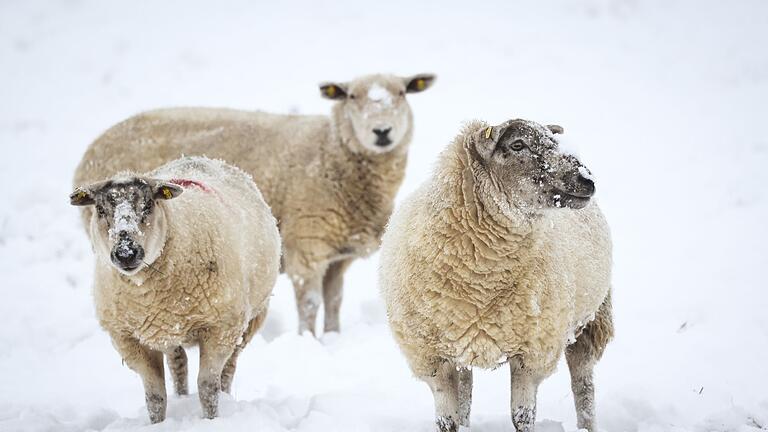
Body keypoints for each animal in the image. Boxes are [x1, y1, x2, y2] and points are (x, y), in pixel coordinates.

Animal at [70, 155, 280, 422]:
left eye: (148, 205)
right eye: (100, 209)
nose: (126, 253)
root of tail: (203, 158)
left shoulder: (221, 328)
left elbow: (207, 387)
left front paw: (212, 420)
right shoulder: (128, 339)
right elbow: (155, 396)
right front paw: (157, 423)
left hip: (250, 319)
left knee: (230, 366)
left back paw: (226, 395)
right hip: (166, 330)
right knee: (178, 363)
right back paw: (181, 395)